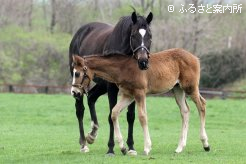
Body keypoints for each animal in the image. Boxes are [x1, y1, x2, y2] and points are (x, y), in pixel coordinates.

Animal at [70, 48, 209, 155]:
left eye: (77, 74)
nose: (74, 92)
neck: (123, 68)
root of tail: (194, 57)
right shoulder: (128, 95)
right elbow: (114, 113)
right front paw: (123, 148)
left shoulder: (140, 93)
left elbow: (142, 117)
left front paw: (147, 147)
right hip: (178, 89)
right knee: (185, 111)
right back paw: (180, 147)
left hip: (190, 87)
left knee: (201, 105)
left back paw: (205, 143)